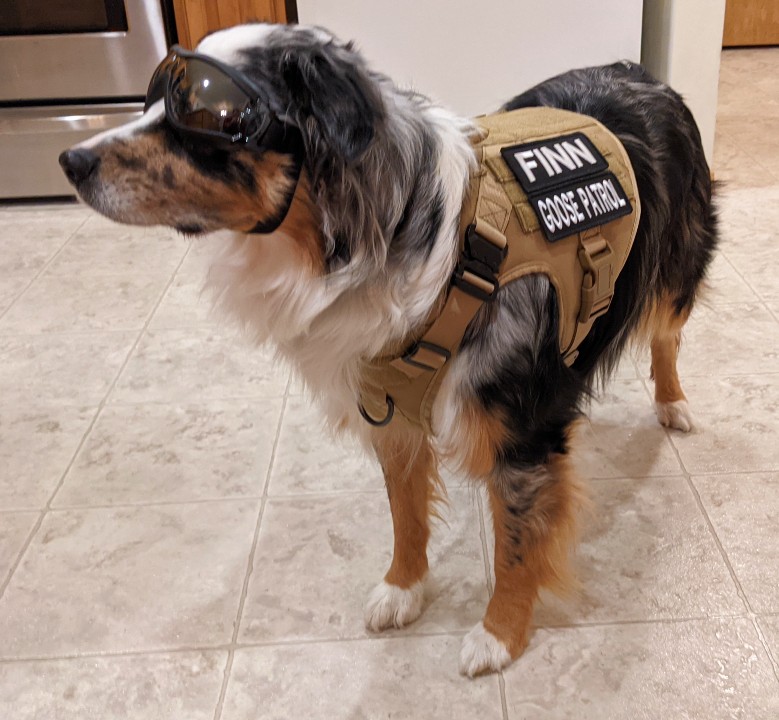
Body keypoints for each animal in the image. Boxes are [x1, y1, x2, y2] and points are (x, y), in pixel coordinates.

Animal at [59, 22, 720, 676]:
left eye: (205, 113)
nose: (69, 159)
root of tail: (637, 71)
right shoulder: (391, 409)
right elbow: (405, 513)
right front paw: (404, 589)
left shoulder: (522, 433)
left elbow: (515, 545)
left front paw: (499, 635)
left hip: (677, 266)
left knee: (667, 333)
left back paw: (674, 403)